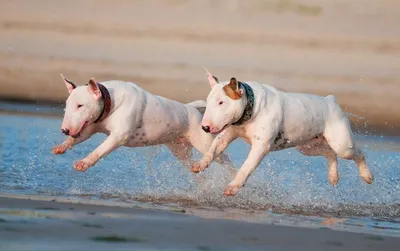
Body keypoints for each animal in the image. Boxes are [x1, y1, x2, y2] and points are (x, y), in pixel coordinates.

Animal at [191, 70, 372, 196]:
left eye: (222, 102)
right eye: (208, 102)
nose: (205, 127)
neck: (252, 106)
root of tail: (330, 100)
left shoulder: (260, 146)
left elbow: (246, 167)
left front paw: (233, 187)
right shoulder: (227, 134)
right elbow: (213, 149)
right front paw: (200, 164)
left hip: (342, 144)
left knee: (357, 153)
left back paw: (367, 175)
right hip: (307, 146)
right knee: (330, 153)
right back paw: (333, 176)